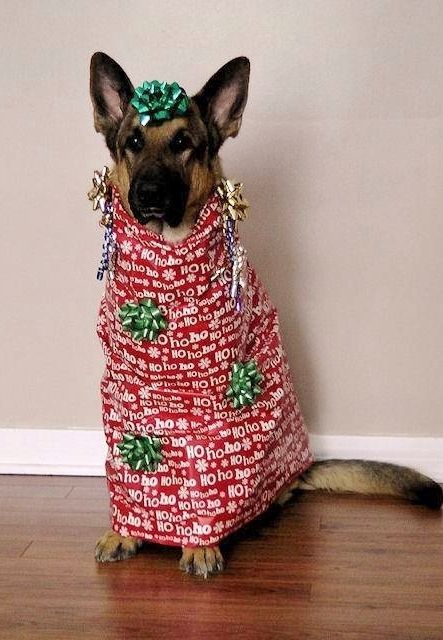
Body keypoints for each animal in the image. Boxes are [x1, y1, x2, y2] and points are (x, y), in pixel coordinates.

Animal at [90, 52, 443, 576]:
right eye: (133, 141)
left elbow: (207, 476)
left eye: (183, 144)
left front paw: (200, 543)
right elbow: (126, 467)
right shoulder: (124, 391)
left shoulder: (218, 402)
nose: (149, 193)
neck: (167, 264)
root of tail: (300, 472)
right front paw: (124, 531)